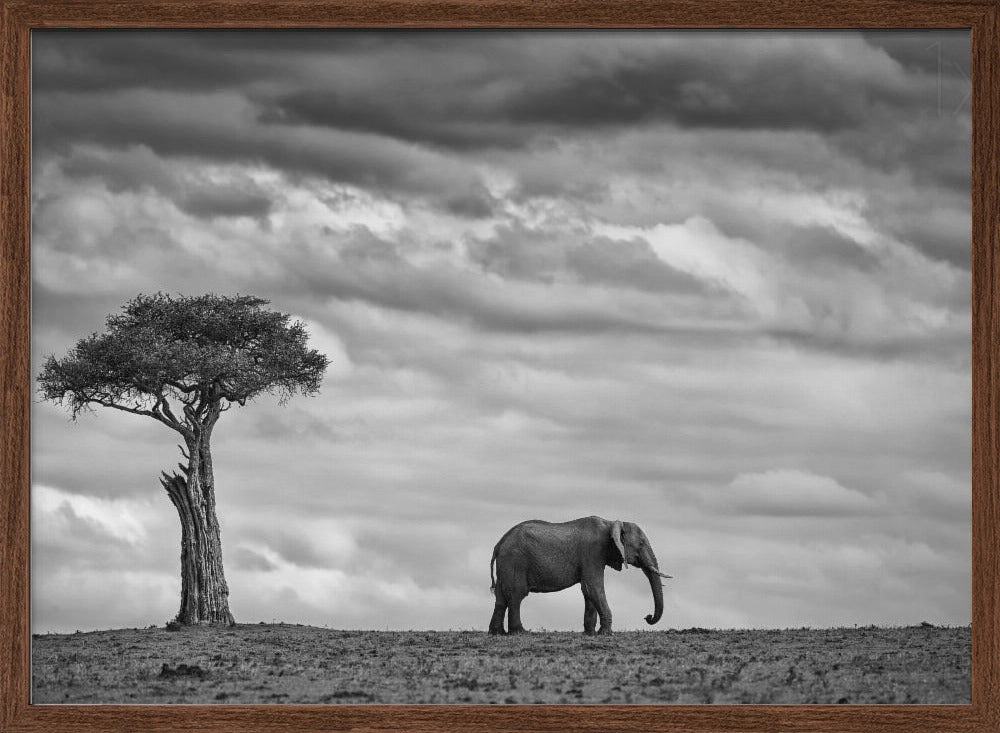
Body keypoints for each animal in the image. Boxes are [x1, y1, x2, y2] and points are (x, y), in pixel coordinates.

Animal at [488, 516, 671, 635]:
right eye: (641, 544)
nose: (647, 616)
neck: (611, 523)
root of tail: (498, 545)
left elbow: (588, 591)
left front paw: (590, 633)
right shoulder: (593, 552)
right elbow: (593, 587)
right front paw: (606, 634)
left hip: (506, 564)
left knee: (501, 598)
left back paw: (497, 633)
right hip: (515, 561)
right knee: (516, 595)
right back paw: (521, 632)